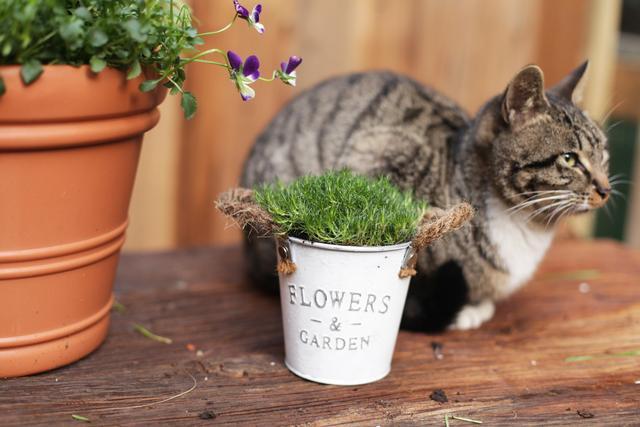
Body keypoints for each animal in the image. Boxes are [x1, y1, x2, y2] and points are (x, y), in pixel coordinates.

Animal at [242, 62, 612, 332]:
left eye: (604, 156)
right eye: (570, 159)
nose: (606, 190)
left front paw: (478, 305)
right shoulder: (376, 154)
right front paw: (460, 311)